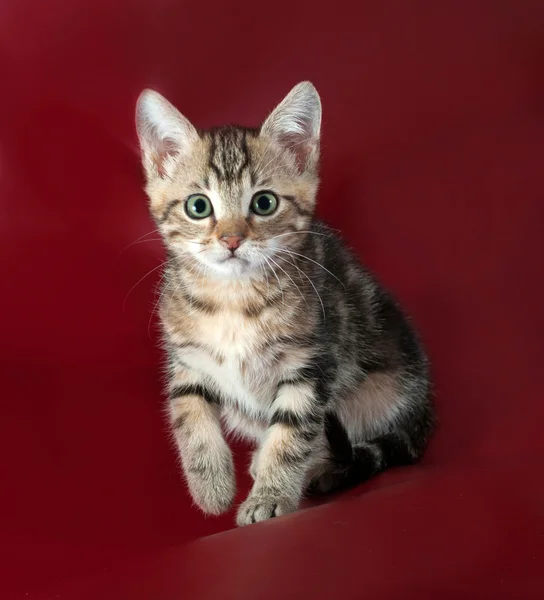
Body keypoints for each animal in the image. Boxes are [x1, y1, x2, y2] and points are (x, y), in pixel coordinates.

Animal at [135, 81, 434, 524]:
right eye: (198, 206)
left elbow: (291, 434)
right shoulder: (187, 358)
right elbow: (189, 414)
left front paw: (270, 496)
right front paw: (211, 486)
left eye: (264, 203)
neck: (233, 299)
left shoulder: (309, 364)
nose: (231, 239)